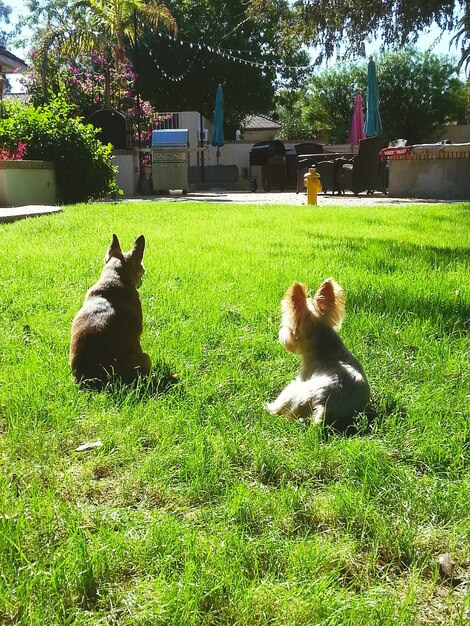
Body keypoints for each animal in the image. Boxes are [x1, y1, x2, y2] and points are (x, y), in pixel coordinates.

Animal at [266, 278, 370, 424]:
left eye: (287, 326)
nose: (281, 336)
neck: (325, 342)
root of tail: (323, 407)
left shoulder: (303, 375)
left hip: (292, 391)